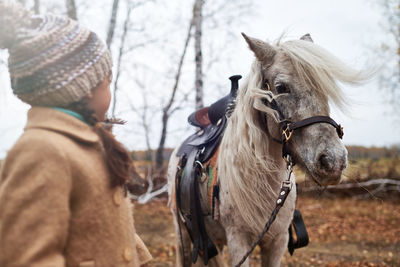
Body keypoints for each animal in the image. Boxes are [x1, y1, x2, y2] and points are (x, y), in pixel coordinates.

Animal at [167, 32, 368, 266]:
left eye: (325, 89)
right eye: (281, 87)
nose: (333, 161)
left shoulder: (277, 241)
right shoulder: (239, 240)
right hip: (183, 232)